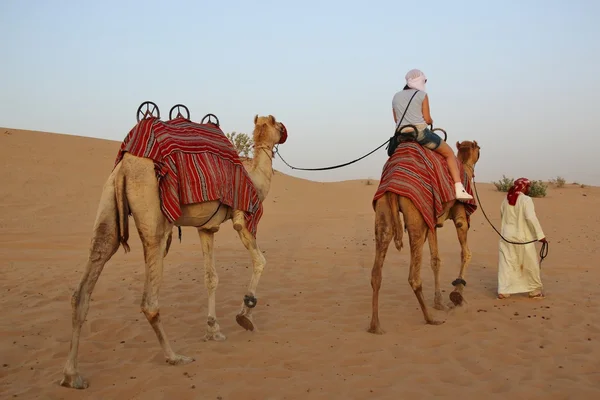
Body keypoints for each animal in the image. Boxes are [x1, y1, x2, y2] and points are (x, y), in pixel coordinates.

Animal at [60, 114, 286, 390]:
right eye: (279, 126)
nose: (285, 133)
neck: (253, 178)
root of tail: (126, 166)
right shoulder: (241, 217)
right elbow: (261, 260)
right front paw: (246, 314)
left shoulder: (206, 228)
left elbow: (211, 278)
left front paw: (213, 330)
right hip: (153, 214)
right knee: (149, 301)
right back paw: (174, 356)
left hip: (109, 203)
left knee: (88, 277)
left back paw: (72, 375)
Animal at [368, 141, 480, 332]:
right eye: (479, 149)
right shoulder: (460, 216)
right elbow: (466, 253)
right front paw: (457, 293)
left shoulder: (432, 222)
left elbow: (435, 260)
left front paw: (439, 301)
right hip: (416, 216)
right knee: (413, 277)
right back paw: (430, 319)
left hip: (383, 211)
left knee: (377, 271)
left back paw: (375, 326)